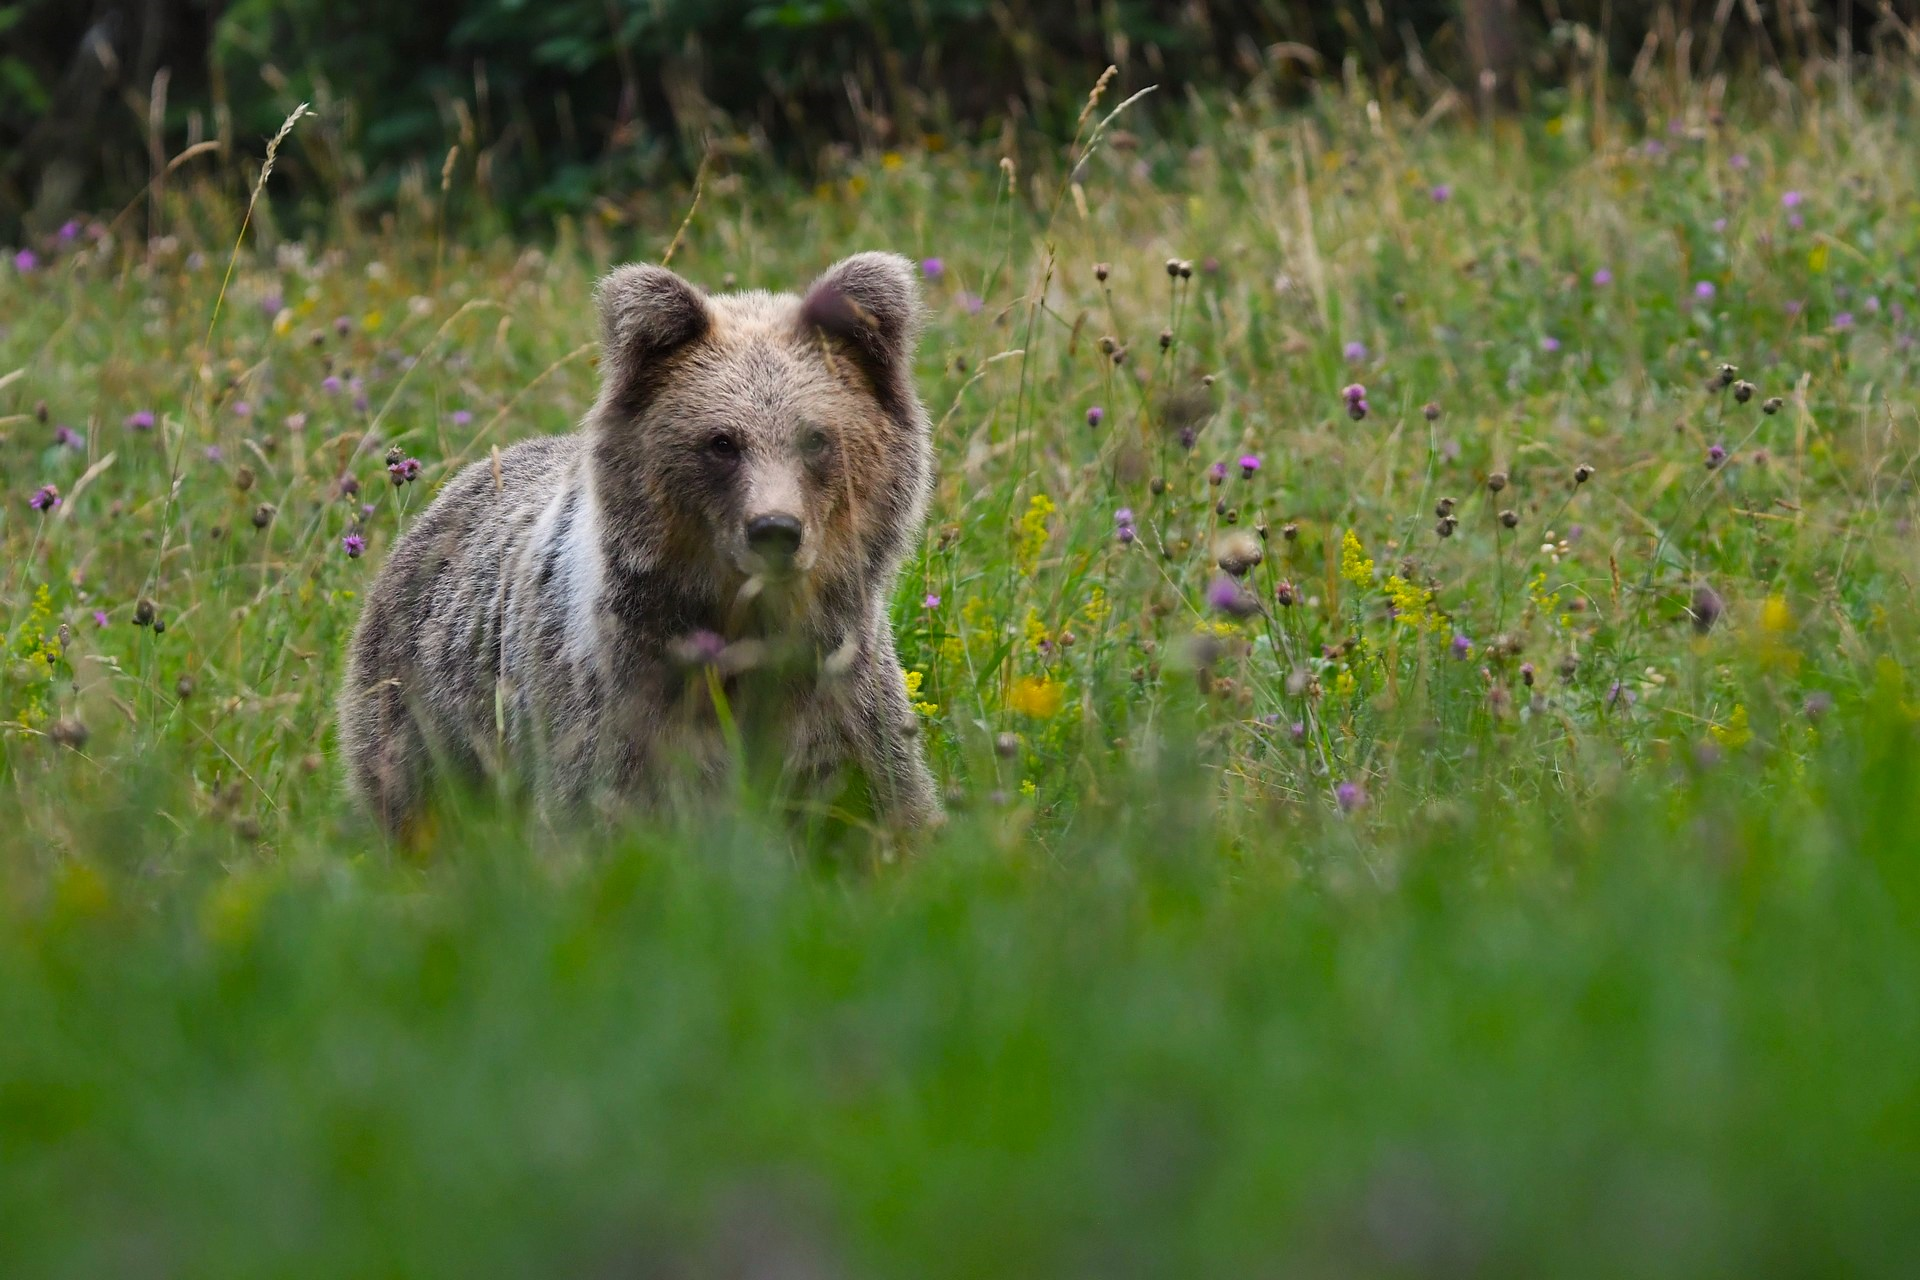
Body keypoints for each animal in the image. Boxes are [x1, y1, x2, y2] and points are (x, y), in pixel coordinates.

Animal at [347, 253, 952, 836]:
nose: (774, 530)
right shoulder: (619, 701)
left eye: (816, 438)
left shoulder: (841, 692)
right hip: (423, 709)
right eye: (721, 442)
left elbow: (880, 802)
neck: (744, 626)